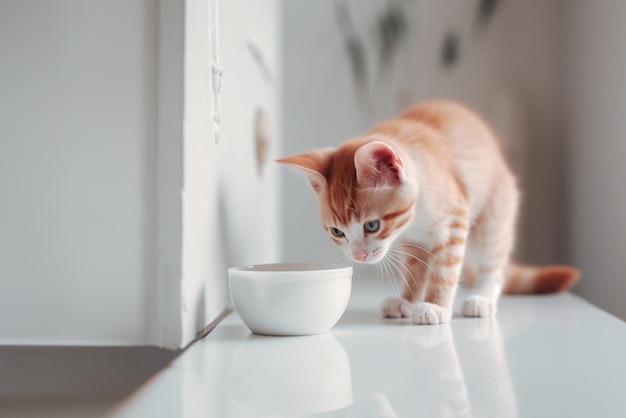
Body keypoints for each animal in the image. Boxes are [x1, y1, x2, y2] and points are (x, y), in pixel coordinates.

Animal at [278, 100, 580, 324]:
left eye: (372, 226)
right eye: (337, 232)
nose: (358, 256)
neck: (415, 218)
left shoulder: (456, 219)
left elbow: (445, 269)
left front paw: (436, 306)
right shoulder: (412, 241)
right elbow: (414, 270)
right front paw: (407, 301)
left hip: (493, 215)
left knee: (493, 262)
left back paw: (482, 298)